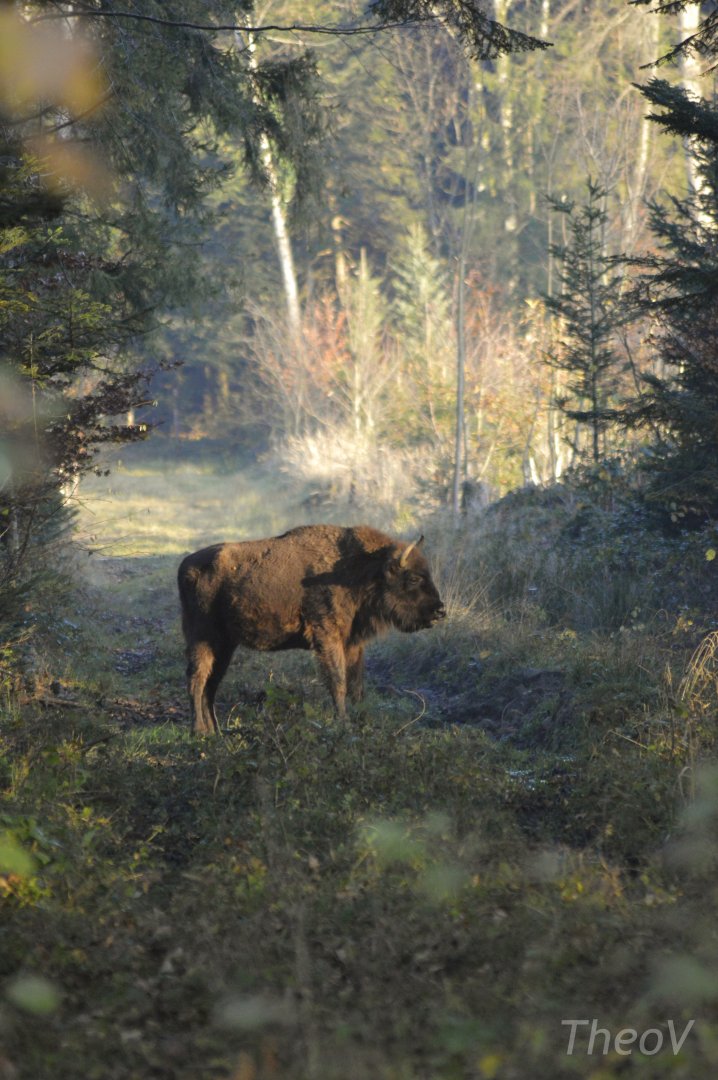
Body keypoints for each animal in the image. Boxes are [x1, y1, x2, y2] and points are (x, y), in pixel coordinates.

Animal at [178, 524, 445, 734]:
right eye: (413, 578)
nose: (440, 611)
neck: (356, 570)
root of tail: (187, 565)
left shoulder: (352, 643)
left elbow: (357, 686)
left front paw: (362, 722)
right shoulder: (327, 637)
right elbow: (338, 681)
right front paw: (343, 724)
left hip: (224, 644)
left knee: (211, 684)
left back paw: (215, 732)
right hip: (202, 637)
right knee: (196, 679)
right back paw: (198, 731)